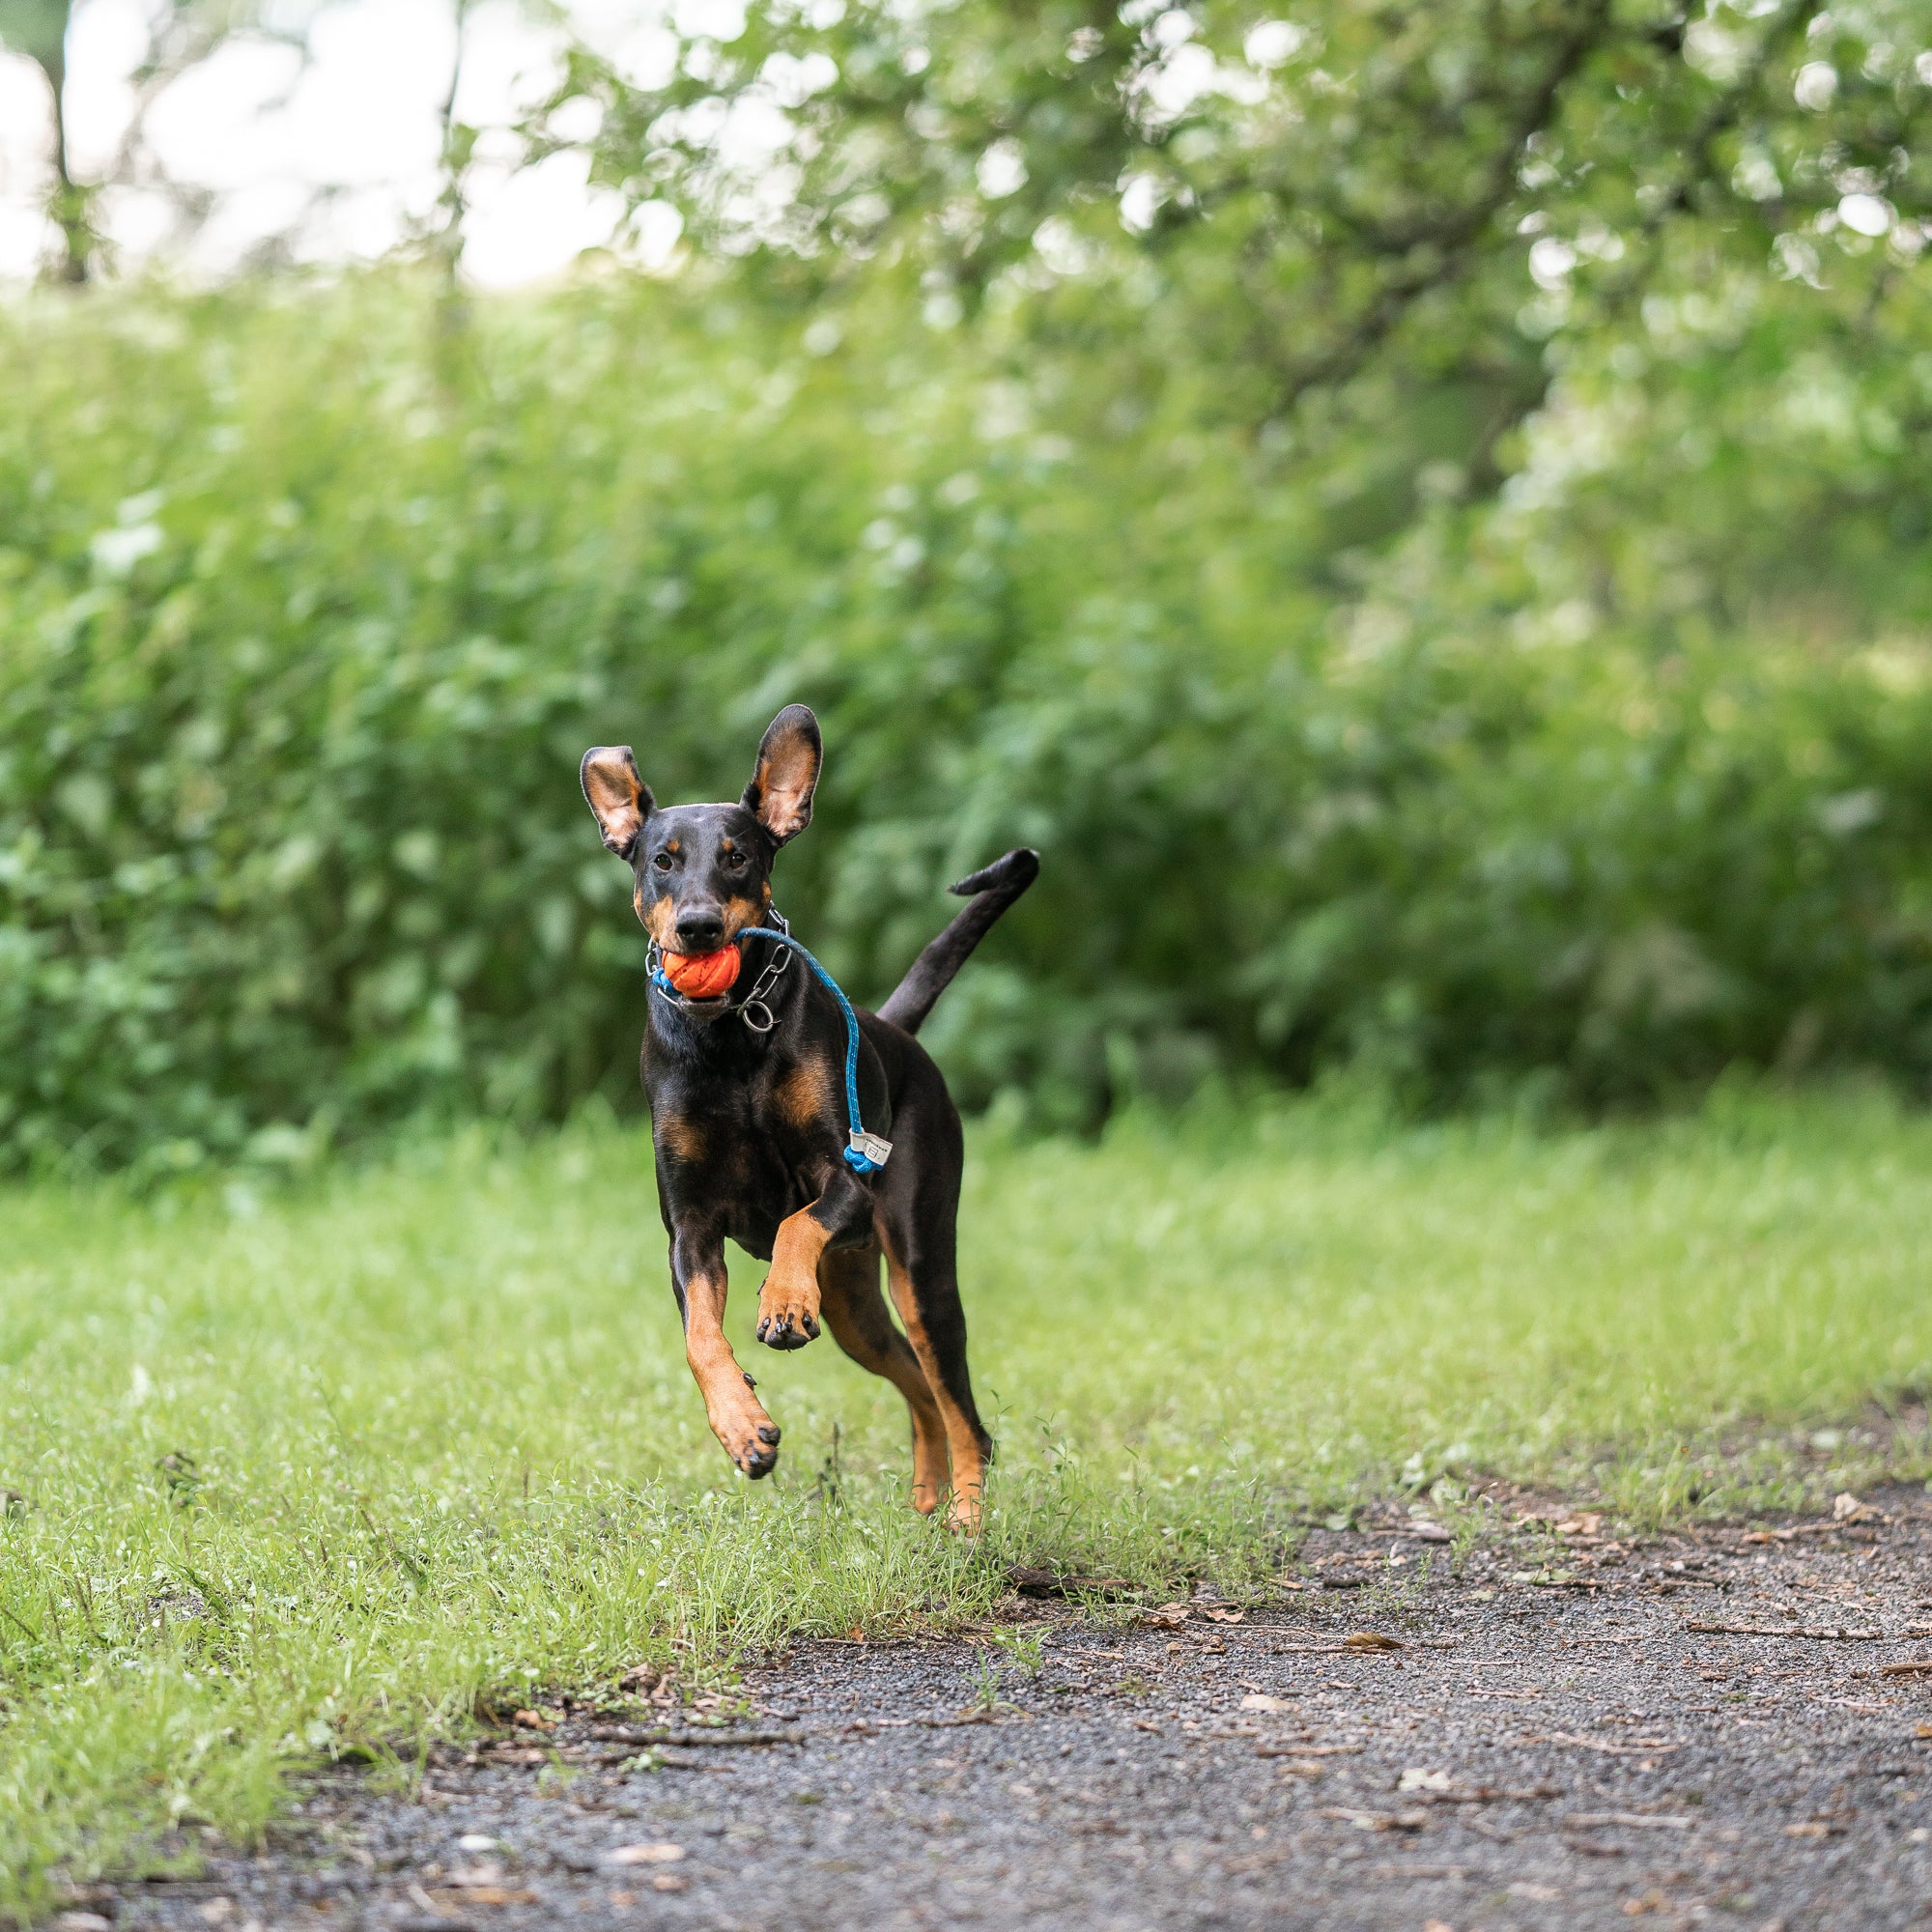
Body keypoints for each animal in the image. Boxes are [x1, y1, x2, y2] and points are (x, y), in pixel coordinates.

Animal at [576, 703, 1043, 1530]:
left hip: (919, 1266)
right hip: (856, 1306)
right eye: (661, 860)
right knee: (918, 1389)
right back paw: (925, 1504)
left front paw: (784, 1302)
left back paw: (965, 1520)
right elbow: (700, 1338)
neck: (730, 1035)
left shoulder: (845, 1177)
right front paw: (743, 1429)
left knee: (960, 1406)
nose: (697, 927)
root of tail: (894, 1031)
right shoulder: (689, 1227)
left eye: (737, 857)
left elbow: (796, 1223)